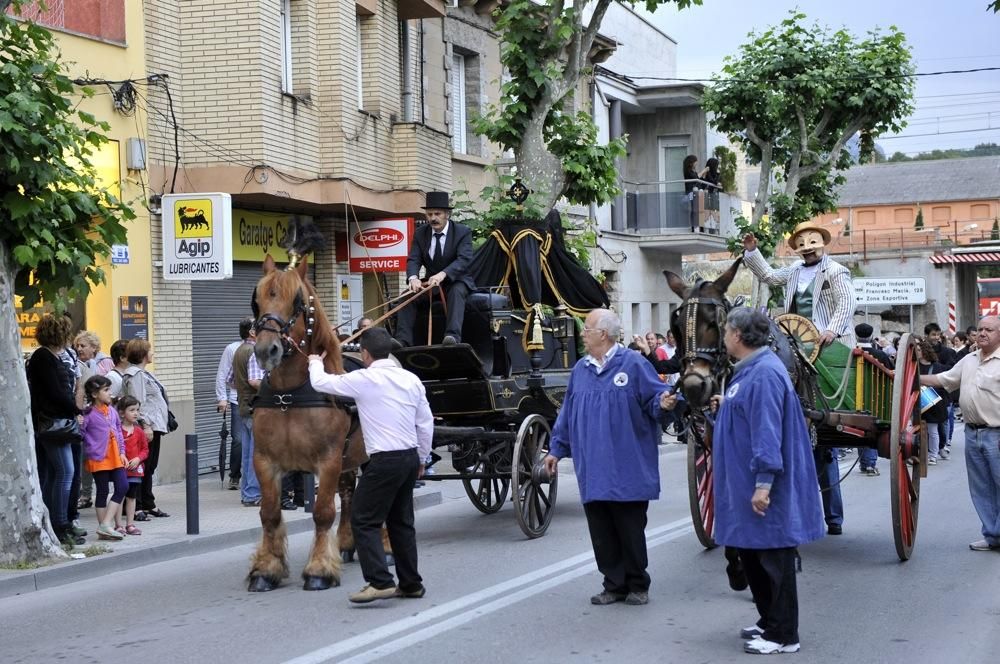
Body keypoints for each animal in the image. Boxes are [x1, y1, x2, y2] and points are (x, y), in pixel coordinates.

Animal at [247, 254, 370, 592]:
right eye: (256, 301)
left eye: (298, 301)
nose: (266, 350)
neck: (291, 393)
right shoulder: (264, 461)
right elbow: (269, 514)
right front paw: (267, 569)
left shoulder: (327, 461)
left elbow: (322, 512)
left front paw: (319, 570)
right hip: (349, 458)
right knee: (349, 493)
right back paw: (347, 542)